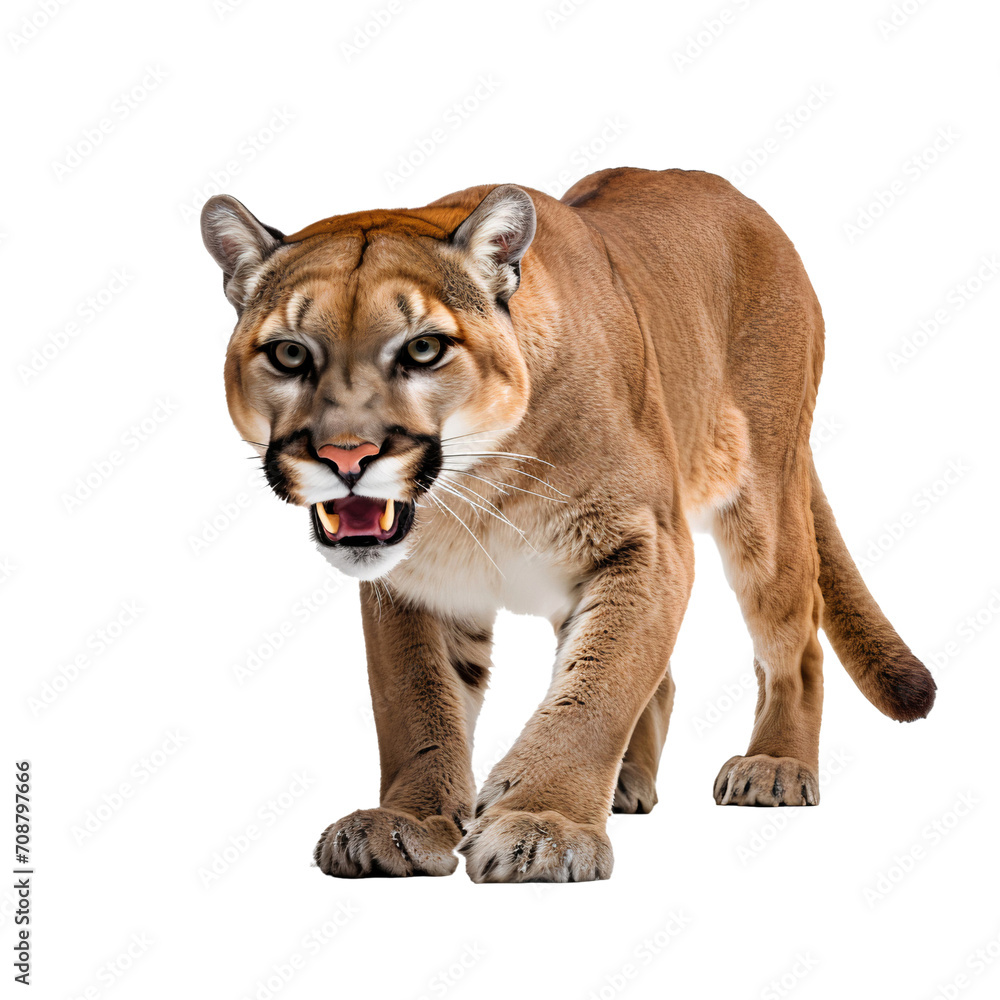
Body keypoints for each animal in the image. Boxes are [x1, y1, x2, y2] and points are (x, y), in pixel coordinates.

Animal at [201, 167, 935, 882]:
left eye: (424, 349)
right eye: (290, 355)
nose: (345, 455)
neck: (478, 490)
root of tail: (741, 198)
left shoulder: (648, 544)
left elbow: (596, 693)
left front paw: (543, 823)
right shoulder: (412, 582)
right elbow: (416, 705)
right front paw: (406, 823)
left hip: (765, 500)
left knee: (795, 642)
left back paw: (777, 765)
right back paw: (628, 783)